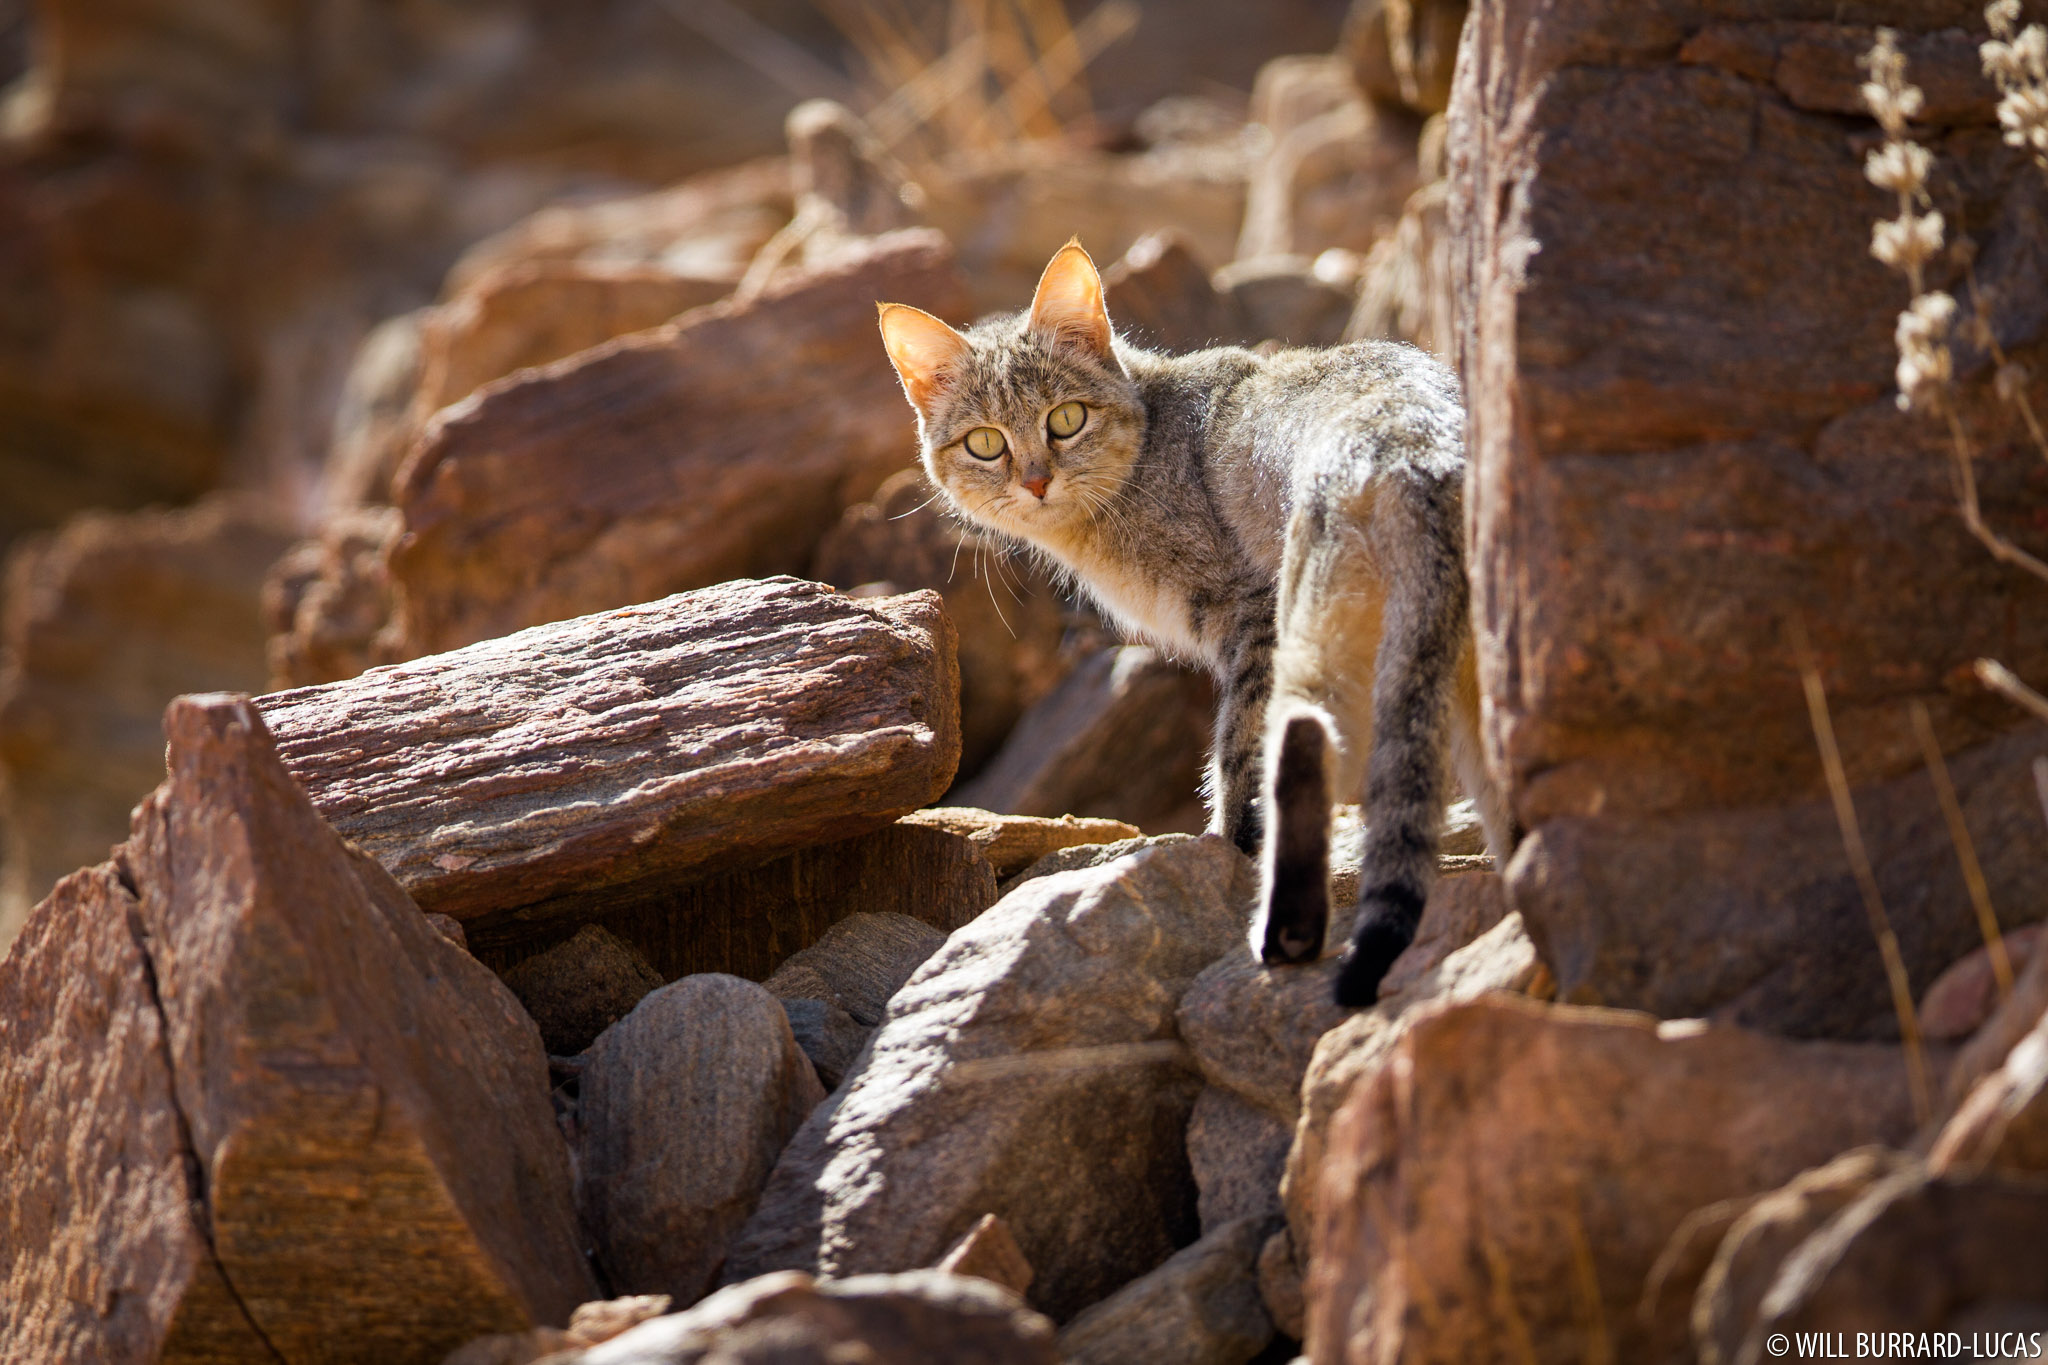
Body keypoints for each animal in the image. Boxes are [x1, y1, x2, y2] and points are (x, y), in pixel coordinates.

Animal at [872, 242, 1515, 1002]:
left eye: (1066, 419)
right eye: (984, 443)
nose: (1035, 482)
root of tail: (1421, 446)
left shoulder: (1252, 614)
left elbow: (1238, 756)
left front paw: (1224, 849)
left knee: (1305, 754)